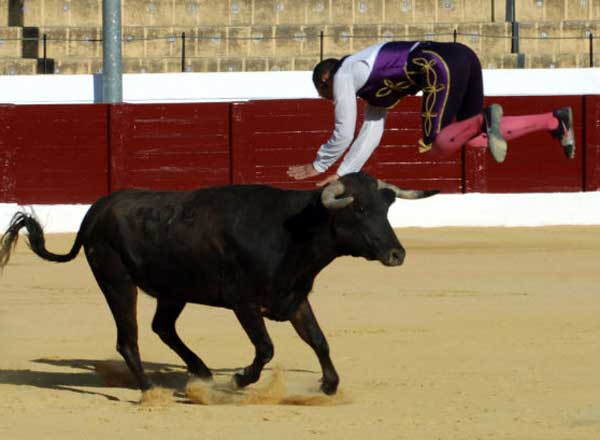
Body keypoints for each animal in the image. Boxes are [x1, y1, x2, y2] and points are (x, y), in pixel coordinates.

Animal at [0, 173, 436, 396]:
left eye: (386, 208)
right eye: (358, 209)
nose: (396, 254)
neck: (293, 231)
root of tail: (98, 209)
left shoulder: (293, 297)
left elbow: (319, 340)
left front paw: (329, 385)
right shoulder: (243, 302)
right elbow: (266, 347)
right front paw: (240, 378)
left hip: (172, 290)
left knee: (162, 327)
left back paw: (202, 372)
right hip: (117, 282)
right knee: (129, 338)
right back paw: (151, 389)